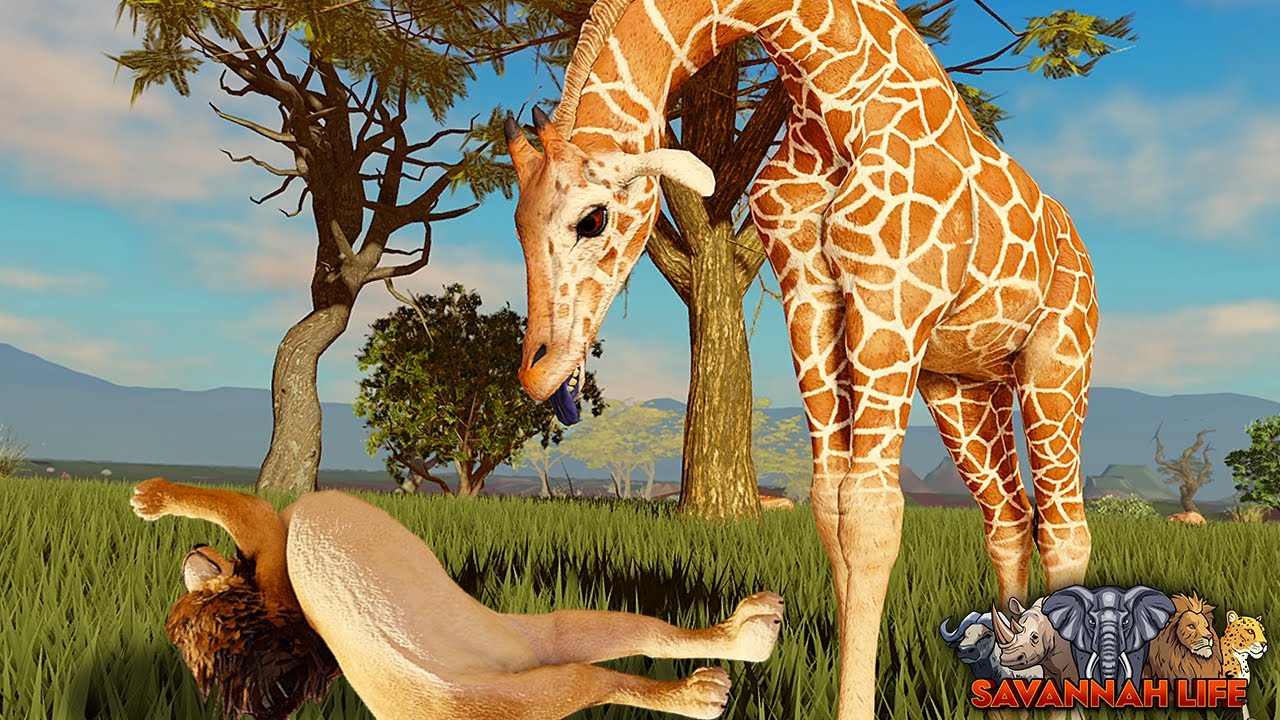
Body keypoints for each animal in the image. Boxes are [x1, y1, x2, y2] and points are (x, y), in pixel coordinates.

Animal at [504, 1, 1098, 717]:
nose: (537, 371)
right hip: (959, 382)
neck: (831, 88)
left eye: (592, 219)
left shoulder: (890, 298)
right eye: (516, 223)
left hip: (1057, 364)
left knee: (1065, 527)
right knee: (1008, 518)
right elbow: (830, 505)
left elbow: (873, 514)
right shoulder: (810, 296)